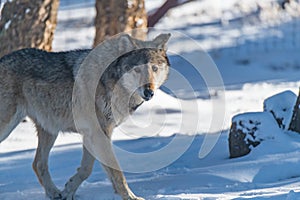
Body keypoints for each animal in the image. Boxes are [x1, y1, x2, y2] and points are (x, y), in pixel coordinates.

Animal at [0, 33, 170, 199]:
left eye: (154, 68)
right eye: (137, 70)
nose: (149, 92)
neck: (108, 81)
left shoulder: (94, 135)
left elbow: (87, 169)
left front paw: (68, 191)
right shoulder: (98, 134)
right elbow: (116, 172)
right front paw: (131, 197)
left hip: (50, 130)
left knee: (38, 164)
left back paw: (54, 193)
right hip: (9, 127)